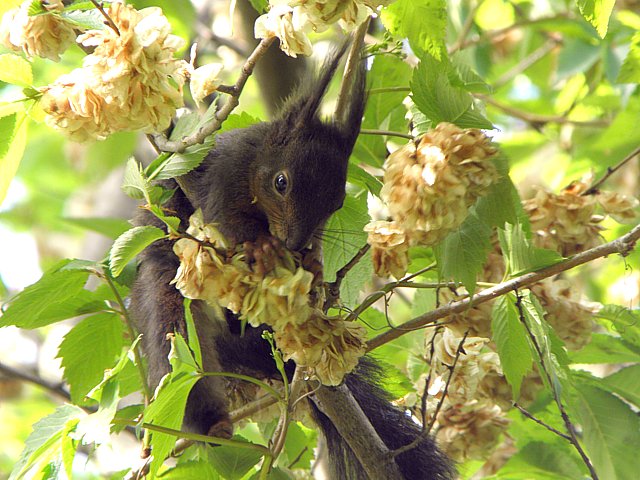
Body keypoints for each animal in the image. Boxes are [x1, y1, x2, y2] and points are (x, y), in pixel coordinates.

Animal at [130, 46, 456, 480]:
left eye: (336, 203)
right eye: (281, 183)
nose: (294, 242)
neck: (256, 161)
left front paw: (313, 266)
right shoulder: (219, 182)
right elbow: (228, 221)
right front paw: (263, 248)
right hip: (172, 298)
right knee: (180, 342)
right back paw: (213, 422)